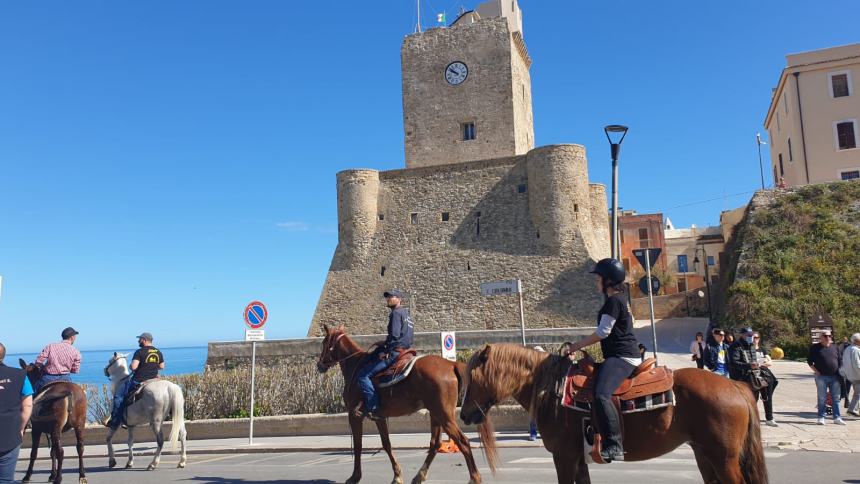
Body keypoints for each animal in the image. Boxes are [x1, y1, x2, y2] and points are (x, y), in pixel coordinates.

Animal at [318, 326, 488, 484]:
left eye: (324, 342)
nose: (319, 365)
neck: (355, 365)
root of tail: (451, 364)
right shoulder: (379, 417)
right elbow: (386, 444)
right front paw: (397, 475)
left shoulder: (354, 416)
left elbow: (358, 446)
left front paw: (355, 477)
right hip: (436, 414)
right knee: (435, 444)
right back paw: (419, 475)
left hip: (444, 415)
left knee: (463, 442)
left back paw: (475, 477)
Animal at [460, 344, 768, 484]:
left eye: (472, 377)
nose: (463, 415)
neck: (553, 390)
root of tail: (735, 385)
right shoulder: (577, 458)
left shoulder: (563, 457)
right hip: (704, 454)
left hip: (724, 458)